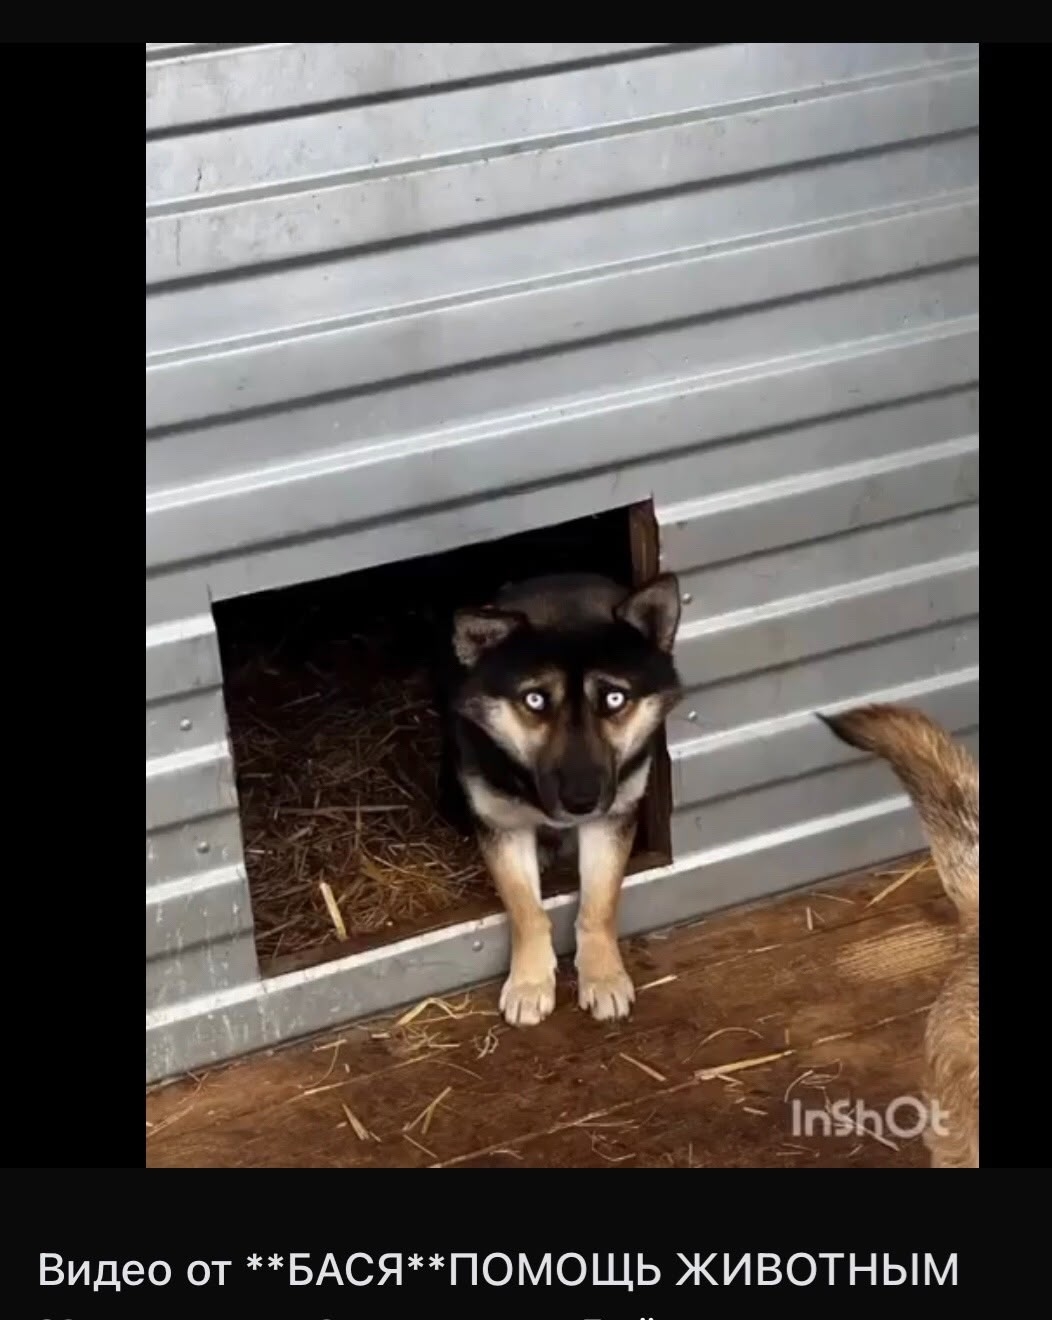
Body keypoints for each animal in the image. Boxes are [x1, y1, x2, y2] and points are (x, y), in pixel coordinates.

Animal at [438, 571, 683, 1028]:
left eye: (614, 698)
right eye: (534, 700)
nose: (581, 801)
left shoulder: (612, 817)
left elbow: (598, 905)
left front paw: (602, 976)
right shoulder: (502, 826)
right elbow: (526, 911)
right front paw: (530, 983)